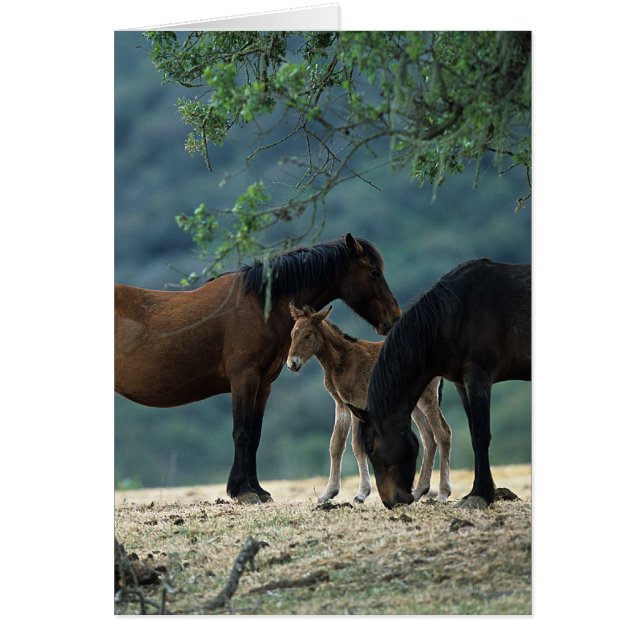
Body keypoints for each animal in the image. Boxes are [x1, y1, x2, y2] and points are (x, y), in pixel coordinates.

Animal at [115, 234, 401, 504]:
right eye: (374, 272)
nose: (395, 318)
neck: (258, 305)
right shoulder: (244, 378)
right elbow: (241, 433)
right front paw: (243, 492)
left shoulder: (263, 385)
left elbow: (254, 436)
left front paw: (257, 490)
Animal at [286, 303, 452, 504]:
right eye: (292, 333)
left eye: (308, 334)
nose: (292, 364)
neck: (341, 360)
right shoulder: (341, 406)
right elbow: (335, 445)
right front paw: (328, 493)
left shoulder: (357, 403)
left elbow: (357, 446)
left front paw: (361, 493)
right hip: (414, 403)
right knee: (428, 437)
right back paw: (420, 491)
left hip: (427, 398)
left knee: (442, 433)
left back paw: (443, 493)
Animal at [347, 259, 531, 510]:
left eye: (370, 447)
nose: (390, 501)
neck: (454, 314)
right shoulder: (462, 384)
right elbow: (473, 433)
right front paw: (478, 491)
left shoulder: (478, 376)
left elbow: (480, 436)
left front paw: (480, 494)